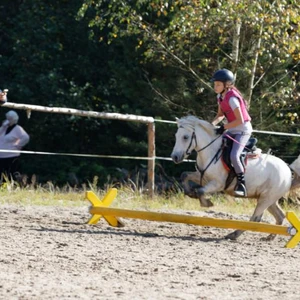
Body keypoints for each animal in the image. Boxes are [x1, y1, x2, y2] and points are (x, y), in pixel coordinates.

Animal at [171, 116, 300, 240]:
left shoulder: (217, 184)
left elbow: (200, 190)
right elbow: (185, 175)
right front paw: (190, 193)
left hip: (266, 199)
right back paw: (270, 237)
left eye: (185, 137)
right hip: (268, 199)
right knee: (279, 216)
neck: (210, 151)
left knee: (255, 218)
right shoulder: (203, 177)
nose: (175, 157)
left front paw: (206, 203)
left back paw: (233, 235)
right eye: (176, 136)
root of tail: (287, 170)